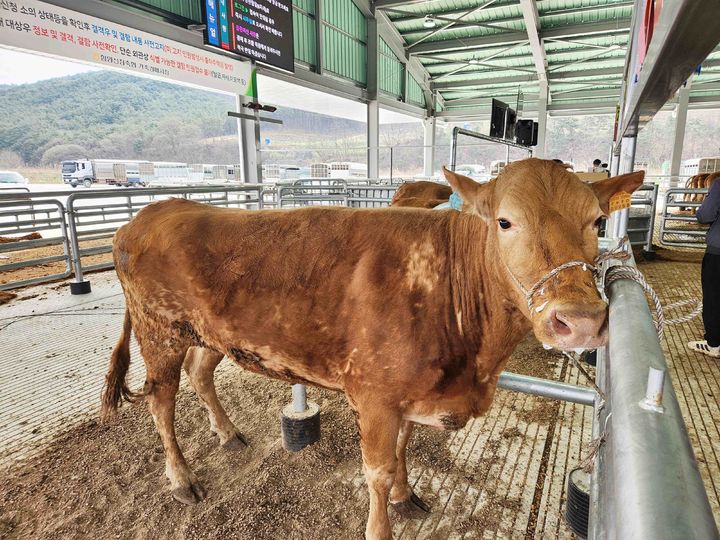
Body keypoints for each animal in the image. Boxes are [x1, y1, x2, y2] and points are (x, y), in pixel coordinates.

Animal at [102, 158, 648, 536]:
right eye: (505, 222)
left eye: (596, 222)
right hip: (159, 332)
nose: (579, 320)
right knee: (161, 402)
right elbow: (379, 473)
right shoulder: (376, 395)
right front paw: (384, 519)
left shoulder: (411, 394)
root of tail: (153, 211)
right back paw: (181, 479)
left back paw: (229, 433)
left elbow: (405, 449)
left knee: (200, 373)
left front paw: (409, 496)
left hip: (209, 334)